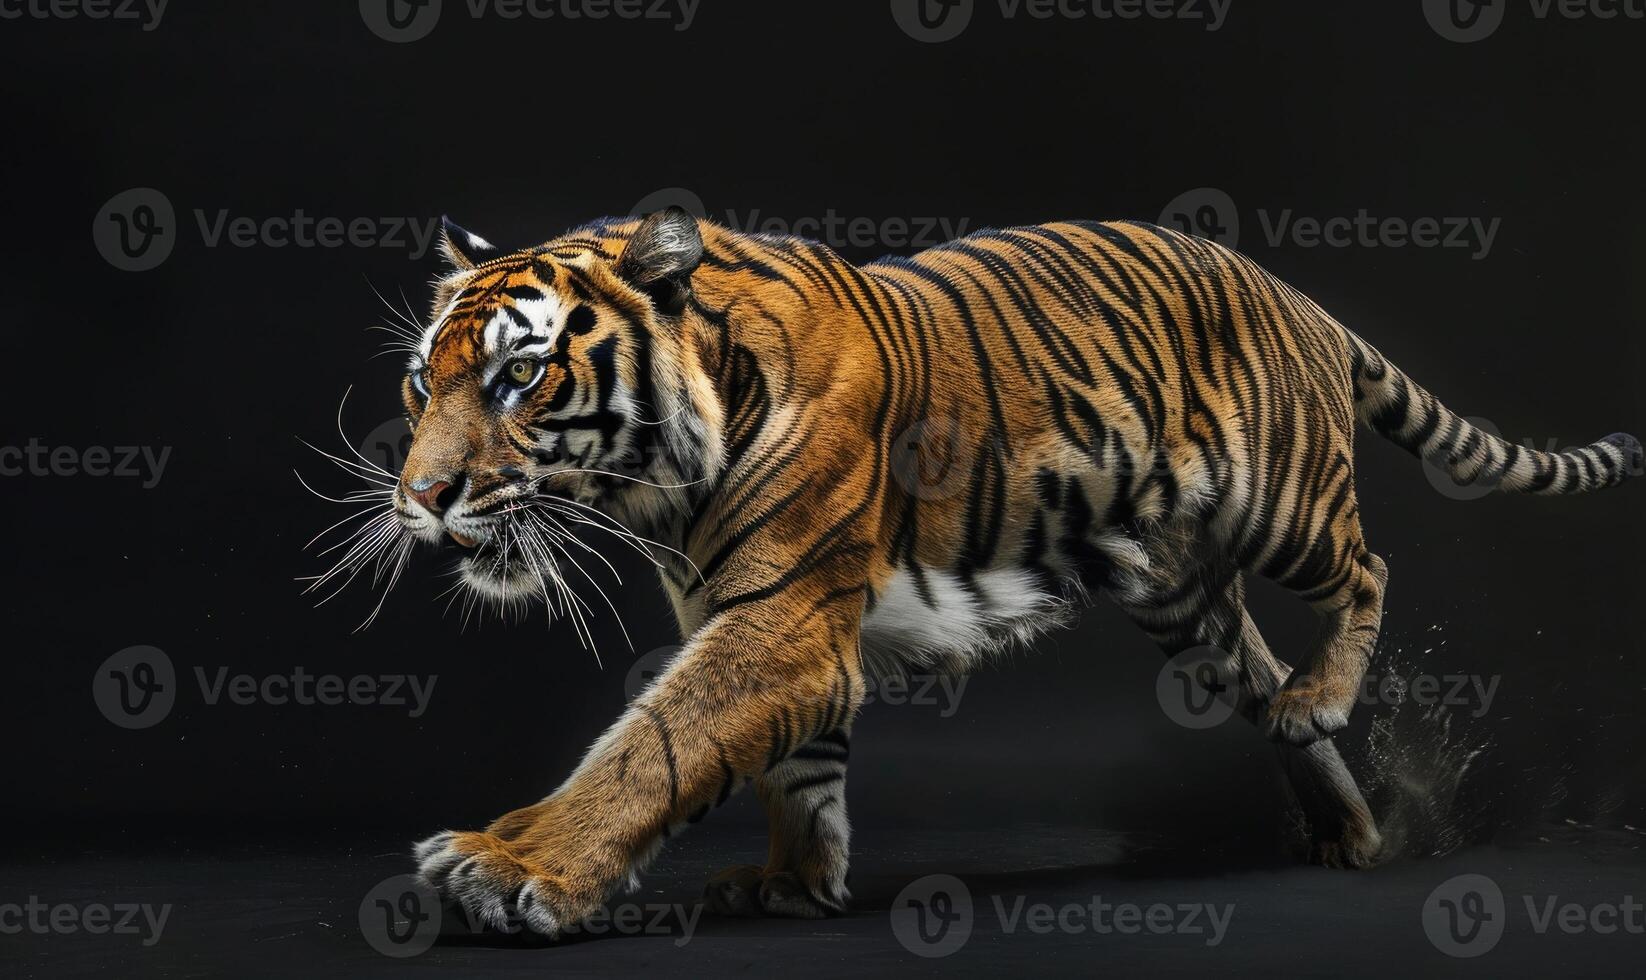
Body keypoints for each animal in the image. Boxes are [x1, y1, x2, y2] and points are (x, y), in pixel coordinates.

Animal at [340, 205, 1639, 935]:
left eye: (518, 378)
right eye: (420, 381)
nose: (419, 496)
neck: (657, 481)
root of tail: (1297, 293)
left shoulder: (775, 617)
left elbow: (651, 742)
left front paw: (506, 864)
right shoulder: (779, 626)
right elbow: (796, 772)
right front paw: (793, 885)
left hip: (1285, 503)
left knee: (1368, 564)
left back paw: (1323, 701)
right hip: (1178, 593)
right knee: (1260, 665)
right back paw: (1340, 820)